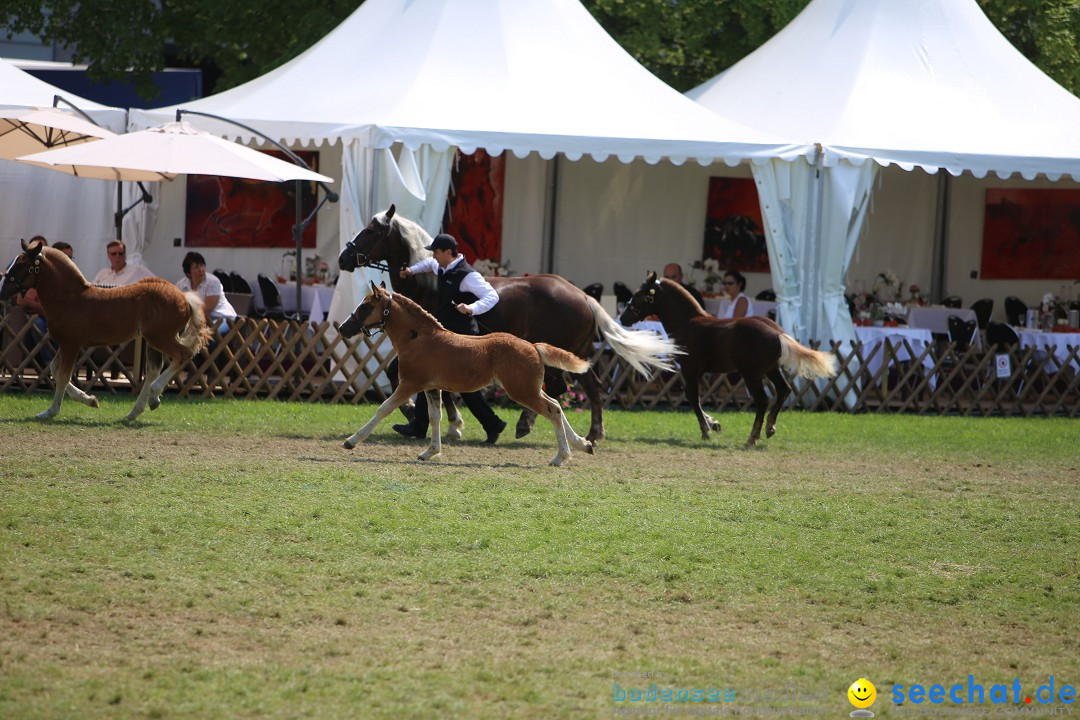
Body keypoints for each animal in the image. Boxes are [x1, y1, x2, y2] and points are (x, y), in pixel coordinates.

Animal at [0, 240, 210, 423]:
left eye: (22, 264)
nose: (2, 293)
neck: (69, 298)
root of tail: (184, 297)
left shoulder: (71, 344)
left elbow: (62, 376)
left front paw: (50, 411)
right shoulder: (66, 344)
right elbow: (54, 369)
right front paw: (90, 400)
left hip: (160, 337)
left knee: (183, 355)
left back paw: (154, 394)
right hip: (152, 341)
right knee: (153, 370)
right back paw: (136, 410)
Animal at [336, 204, 678, 444]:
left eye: (371, 231)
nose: (343, 258)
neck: (431, 284)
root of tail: (583, 295)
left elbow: (398, 375)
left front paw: (424, 417)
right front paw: (449, 424)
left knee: (574, 388)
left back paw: (569, 431)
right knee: (571, 388)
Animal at [339, 280, 596, 468]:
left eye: (366, 306)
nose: (343, 328)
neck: (419, 338)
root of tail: (533, 346)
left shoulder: (410, 384)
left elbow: (384, 408)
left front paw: (351, 441)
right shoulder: (431, 388)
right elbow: (435, 417)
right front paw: (430, 452)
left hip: (521, 391)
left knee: (552, 409)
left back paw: (560, 457)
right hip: (529, 389)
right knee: (557, 405)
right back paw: (583, 444)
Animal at [617, 272, 833, 446]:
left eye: (640, 295)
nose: (623, 318)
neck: (687, 323)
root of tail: (777, 332)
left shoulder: (689, 368)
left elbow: (692, 397)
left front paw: (706, 430)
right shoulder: (696, 371)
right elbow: (693, 397)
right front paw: (714, 424)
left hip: (752, 374)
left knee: (763, 400)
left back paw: (752, 438)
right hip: (770, 370)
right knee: (783, 390)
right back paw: (770, 428)